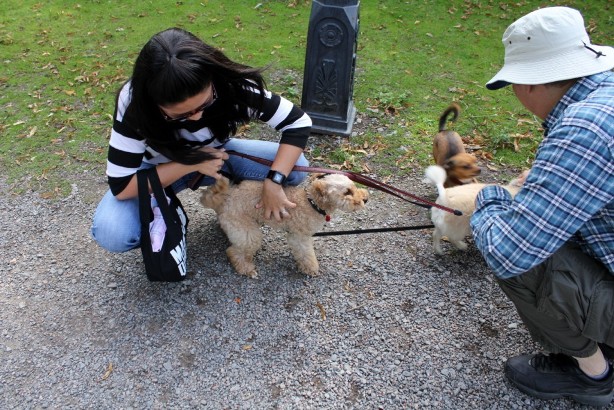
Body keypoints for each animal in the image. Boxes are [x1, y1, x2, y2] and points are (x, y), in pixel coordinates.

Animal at [201, 173, 370, 278]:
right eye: (347, 192)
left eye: (354, 186)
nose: (366, 198)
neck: (311, 202)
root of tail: (225, 198)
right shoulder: (300, 237)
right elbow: (306, 255)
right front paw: (311, 269)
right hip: (248, 232)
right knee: (233, 252)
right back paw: (246, 269)